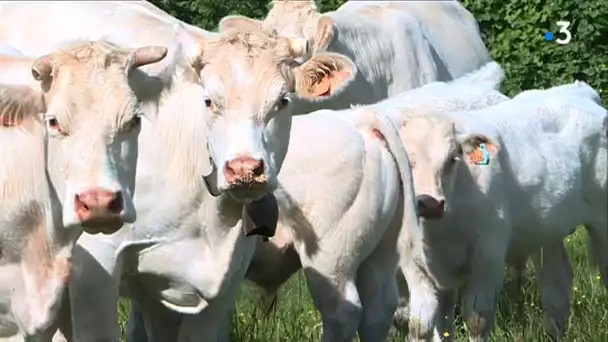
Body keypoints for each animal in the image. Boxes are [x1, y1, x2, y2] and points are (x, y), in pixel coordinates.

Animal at [400, 81, 608, 340]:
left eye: (452, 159)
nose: (430, 203)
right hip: (546, 232)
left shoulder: (488, 258)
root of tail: (578, 88)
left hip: (602, 220)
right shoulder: (415, 267)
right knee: (557, 284)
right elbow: (423, 325)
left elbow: (477, 320)